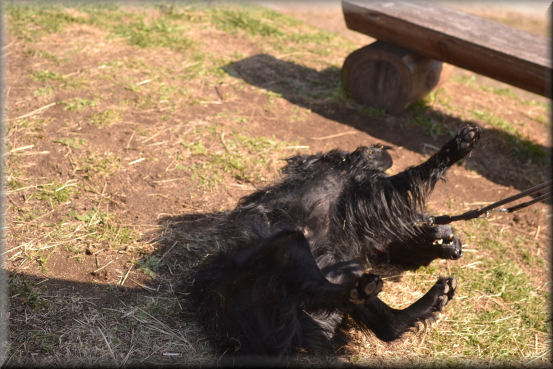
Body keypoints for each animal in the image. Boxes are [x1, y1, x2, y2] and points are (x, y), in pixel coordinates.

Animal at [190, 125, 478, 358]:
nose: (381, 150)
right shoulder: (373, 197)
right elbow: (410, 176)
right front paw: (456, 147)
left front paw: (443, 244)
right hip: (291, 246)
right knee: (321, 291)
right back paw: (366, 290)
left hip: (341, 268)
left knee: (387, 323)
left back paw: (433, 295)